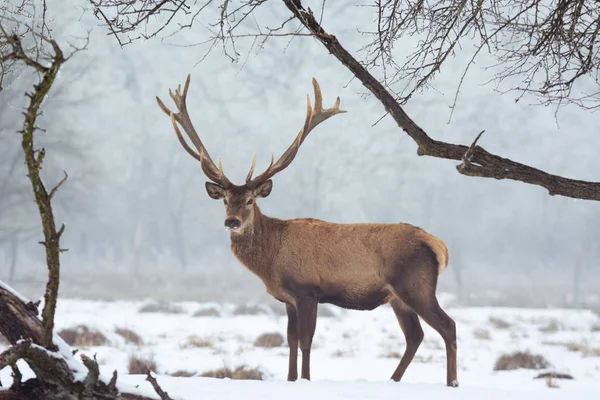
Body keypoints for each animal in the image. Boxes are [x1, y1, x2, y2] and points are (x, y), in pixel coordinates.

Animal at [156, 75, 460, 388]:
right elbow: (290, 340)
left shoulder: (307, 290)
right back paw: (393, 380)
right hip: (398, 297)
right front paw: (291, 379)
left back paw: (452, 383)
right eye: (226, 200)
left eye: (251, 201)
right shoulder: (288, 299)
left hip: (416, 285)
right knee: (415, 336)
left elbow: (306, 341)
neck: (271, 261)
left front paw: (305, 379)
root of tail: (439, 246)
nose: (232, 222)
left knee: (447, 325)